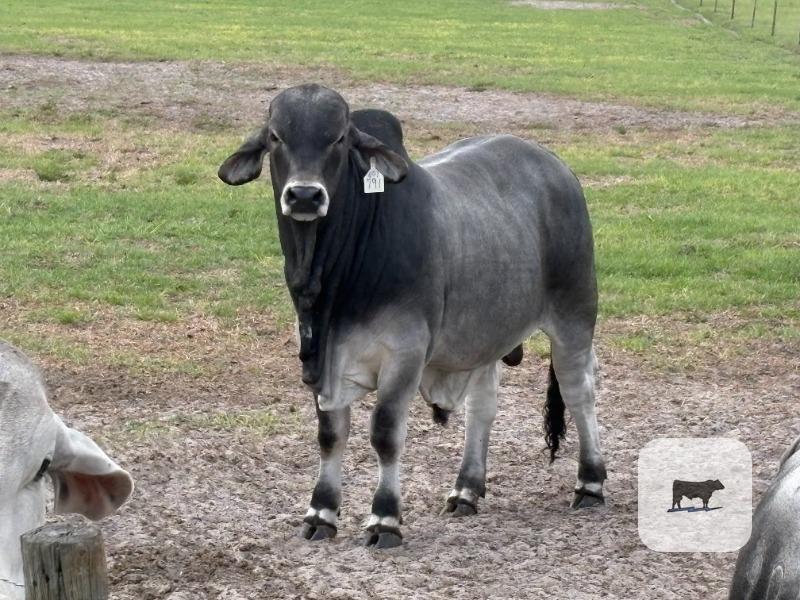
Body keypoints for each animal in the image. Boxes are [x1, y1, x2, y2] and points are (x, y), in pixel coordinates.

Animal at [218, 84, 607, 548]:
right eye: (276, 136)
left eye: (339, 139)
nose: (305, 196)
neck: (334, 281)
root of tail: (556, 165)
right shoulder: (320, 357)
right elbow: (330, 435)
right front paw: (321, 512)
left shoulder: (404, 354)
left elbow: (385, 432)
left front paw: (384, 518)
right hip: (485, 335)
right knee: (483, 405)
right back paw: (466, 489)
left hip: (574, 316)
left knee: (579, 390)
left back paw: (590, 482)